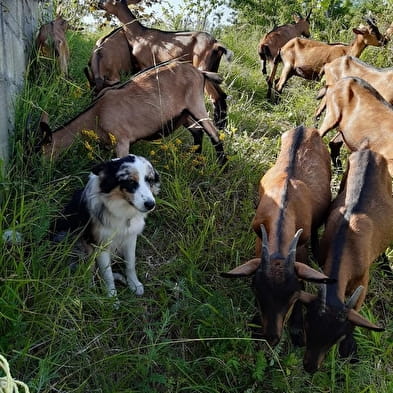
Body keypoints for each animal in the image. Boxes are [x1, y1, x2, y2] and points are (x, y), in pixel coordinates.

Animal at [52, 155, 159, 302]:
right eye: (130, 181)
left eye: (149, 180)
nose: (150, 204)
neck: (120, 209)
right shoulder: (101, 244)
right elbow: (107, 274)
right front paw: (112, 298)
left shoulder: (130, 237)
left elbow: (130, 263)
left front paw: (134, 284)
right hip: (77, 246)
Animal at [98, 0, 233, 128]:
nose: (99, 4)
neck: (138, 35)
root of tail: (217, 45)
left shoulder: (146, 62)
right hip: (213, 67)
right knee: (221, 95)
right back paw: (221, 126)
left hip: (202, 64)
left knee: (216, 96)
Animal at [222, 126, 330, 346]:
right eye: (256, 290)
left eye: (294, 296)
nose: (271, 337)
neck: (283, 203)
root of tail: (304, 127)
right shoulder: (259, 236)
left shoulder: (300, 245)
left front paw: (297, 329)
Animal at [298, 146, 392, 370]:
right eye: (307, 323)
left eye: (336, 338)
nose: (310, 367)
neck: (346, 242)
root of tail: (369, 150)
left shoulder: (362, 282)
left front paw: (350, 350)